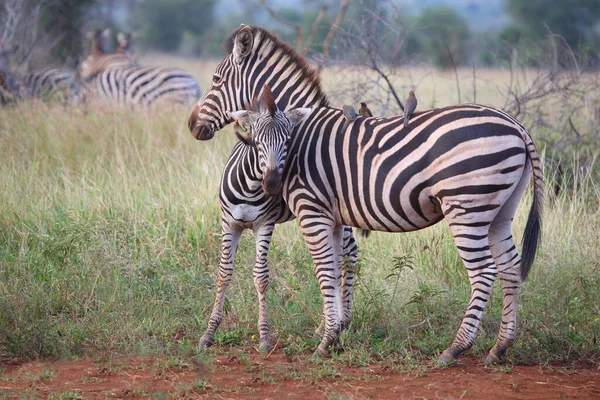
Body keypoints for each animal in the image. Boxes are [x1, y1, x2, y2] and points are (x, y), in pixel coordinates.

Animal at [190, 23, 548, 364]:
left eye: (216, 79)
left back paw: (455, 349)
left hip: (467, 207)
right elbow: (336, 268)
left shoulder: (312, 211)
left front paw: (326, 341)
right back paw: (500, 348)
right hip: (499, 210)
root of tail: (517, 126)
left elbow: (324, 271)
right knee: (510, 269)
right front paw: (335, 332)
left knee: (484, 272)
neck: (302, 135)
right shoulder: (333, 217)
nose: (193, 125)